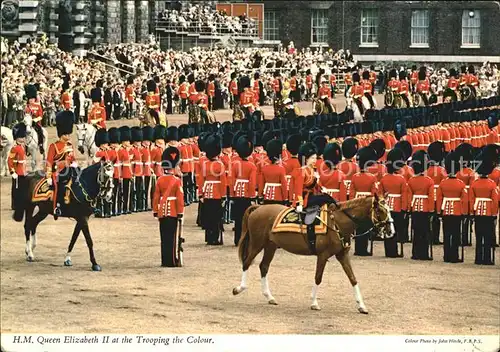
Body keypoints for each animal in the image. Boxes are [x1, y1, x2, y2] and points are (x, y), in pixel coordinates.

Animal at [233, 195, 394, 314]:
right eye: (380, 210)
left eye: (389, 209)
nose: (391, 231)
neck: (337, 222)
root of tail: (258, 207)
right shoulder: (322, 255)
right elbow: (318, 277)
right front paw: (314, 302)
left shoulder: (342, 255)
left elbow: (353, 278)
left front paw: (361, 306)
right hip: (257, 244)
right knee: (247, 262)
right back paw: (239, 288)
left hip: (270, 246)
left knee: (264, 266)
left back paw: (269, 297)